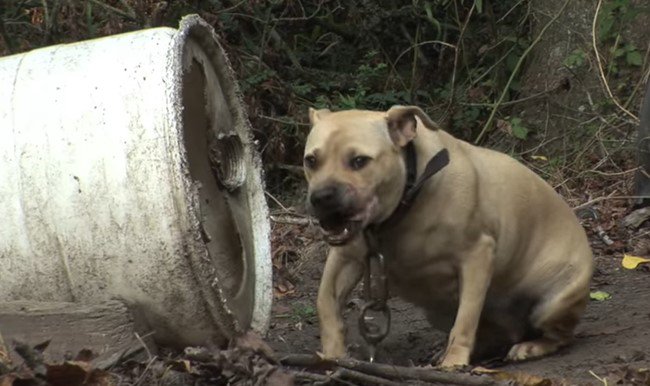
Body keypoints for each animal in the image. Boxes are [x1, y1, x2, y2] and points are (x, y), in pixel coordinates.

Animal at [302, 105, 588, 368]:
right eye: (311, 160)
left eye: (360, 161)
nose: (322, 197)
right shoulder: (345, 257)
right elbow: (324, 303)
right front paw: (332, 355)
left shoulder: (476, 256)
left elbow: (466, 319)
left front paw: (454, 362)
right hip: (439, 311)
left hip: (553, 302)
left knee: (560, 336)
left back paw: (531, 346)